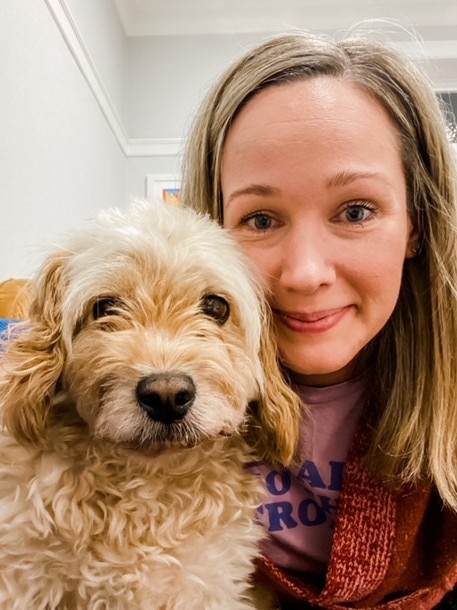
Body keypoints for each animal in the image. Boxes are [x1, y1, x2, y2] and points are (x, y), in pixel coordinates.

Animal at [0, 201, 300, 608]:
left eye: (215, 306)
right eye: (105, 307)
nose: (166, 396)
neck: (146, 484)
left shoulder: (203, 584)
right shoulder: (22, 575)